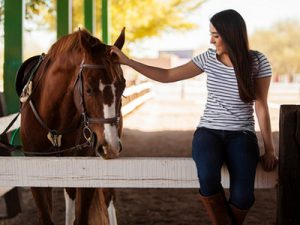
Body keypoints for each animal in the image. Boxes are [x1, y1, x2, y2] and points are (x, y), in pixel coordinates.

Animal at [15, 28, 126, 225]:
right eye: (88, 89)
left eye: (123, 87)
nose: (110, 146)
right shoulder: (36, 172)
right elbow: (47, 216)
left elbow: (81, 217)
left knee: (108, 197)